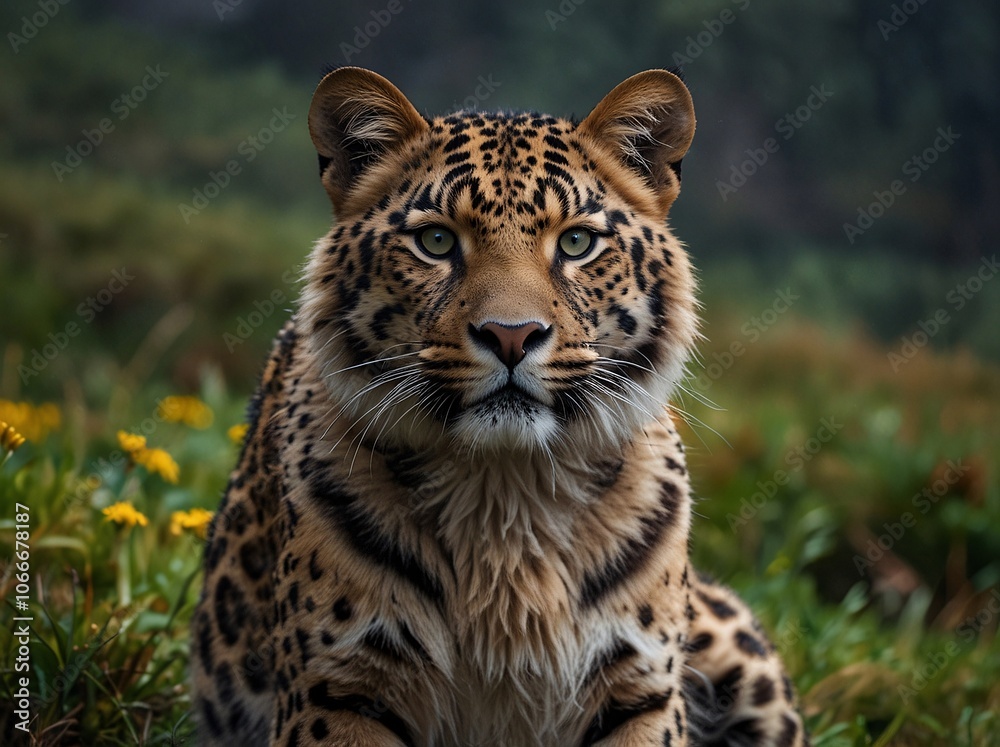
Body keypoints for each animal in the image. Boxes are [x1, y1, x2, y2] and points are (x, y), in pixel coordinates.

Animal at [191, 66, 809, 747]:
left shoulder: (640, 690)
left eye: (577, 242)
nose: (511, 336)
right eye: (436, 241)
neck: (507, 494)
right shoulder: (338, 687)